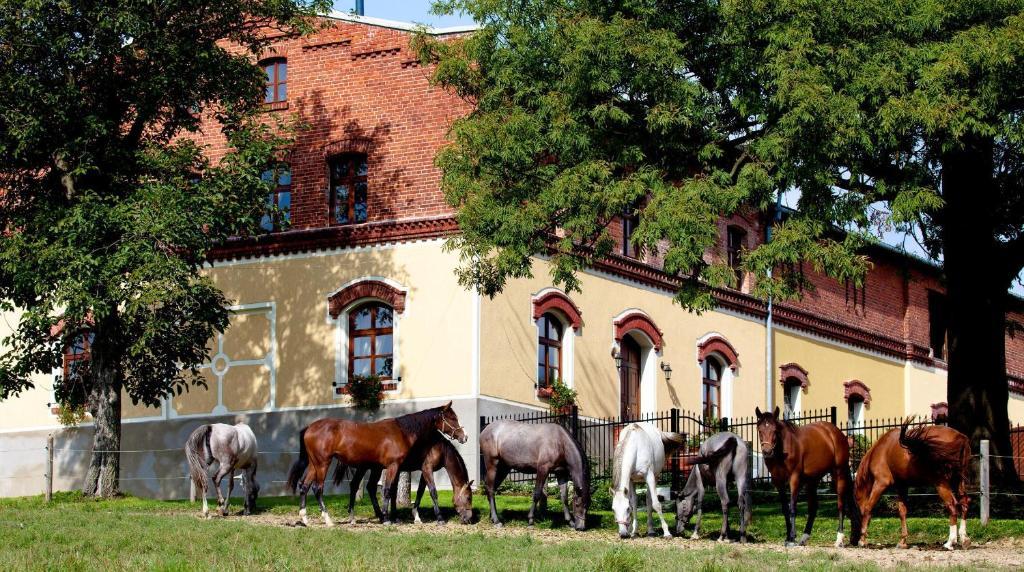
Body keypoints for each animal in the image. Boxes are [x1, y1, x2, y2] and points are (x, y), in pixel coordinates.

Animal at [339, 431, 475, 528]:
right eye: (468, 498)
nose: (469, 519)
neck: (440, 448)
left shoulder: (424, 472)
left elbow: (420, 492)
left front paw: (416, 516)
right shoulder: (427, 469)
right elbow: (433, 492)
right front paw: (439, 518)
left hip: (375, 468)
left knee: (370, 487)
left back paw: (380, 516)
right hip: (365, 467)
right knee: (355, 485)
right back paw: (352, 518)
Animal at [757, 405, 860, 548]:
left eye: (775, 430)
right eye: (760, 430)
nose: (767, 452)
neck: (783, 449)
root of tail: (836, 433)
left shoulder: (794, 479)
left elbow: (792, 507)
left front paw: (792, 538)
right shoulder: (778, 481)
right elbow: (785, 508)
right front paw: (788, 537)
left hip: (838, 473)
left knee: (840, 505)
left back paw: (839, 539)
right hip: (812, 481)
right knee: (813, 507)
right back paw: (804, 538)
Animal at [851, 421, 970, 552]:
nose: (853, 540)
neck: (880, 450)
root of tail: (961, 437)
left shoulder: (880, 483)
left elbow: (868, 508)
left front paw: (862, 540)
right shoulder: (902, 486)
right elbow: (902, 511)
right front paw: (903, 541)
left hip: (941, 484)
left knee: (952, 505)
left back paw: (950, 542)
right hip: (959, 482)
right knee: (964, 503)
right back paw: (964, 539)